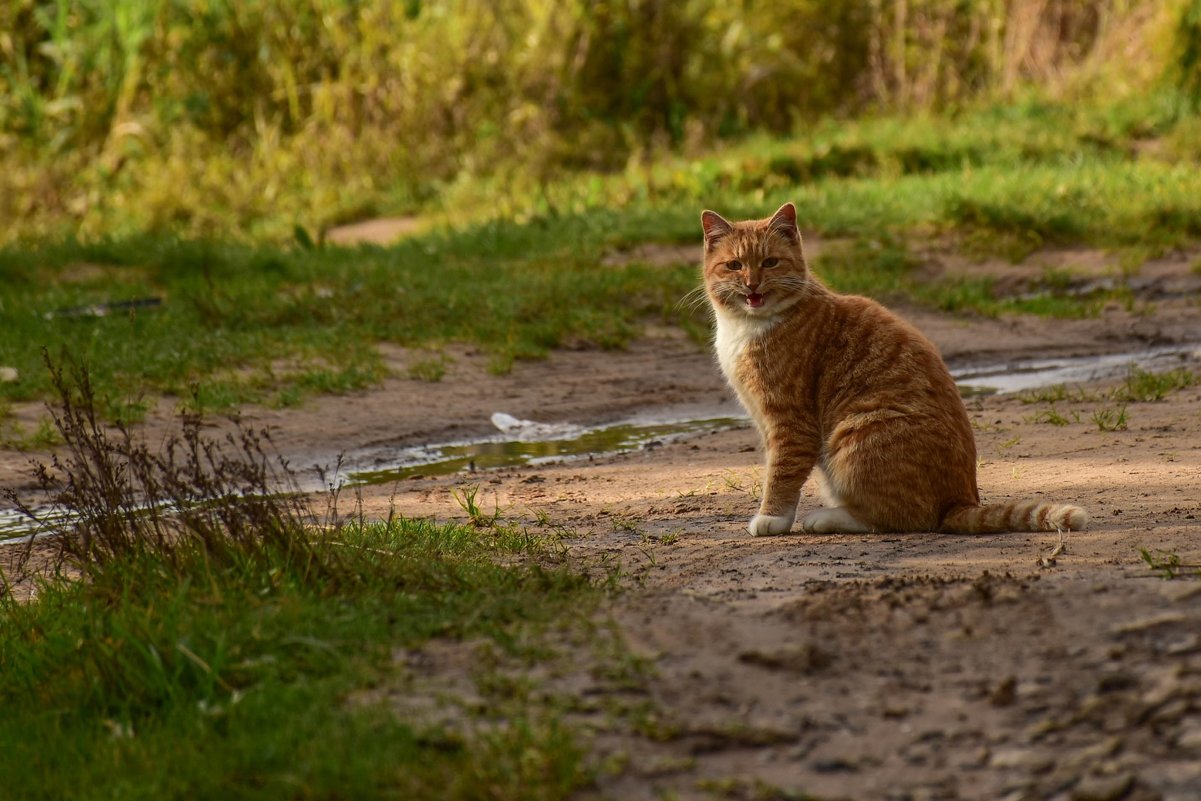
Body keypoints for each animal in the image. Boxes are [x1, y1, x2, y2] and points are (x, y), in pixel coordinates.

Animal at [701, 204, 1090, 535]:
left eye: (770, 262)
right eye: (734, 265)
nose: (752, 284)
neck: (748, 325)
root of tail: (959, 501)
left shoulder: (789, 422)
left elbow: (781, 473)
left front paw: (771, 518)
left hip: (857, 432)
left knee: (901, 518)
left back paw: (826, 518)